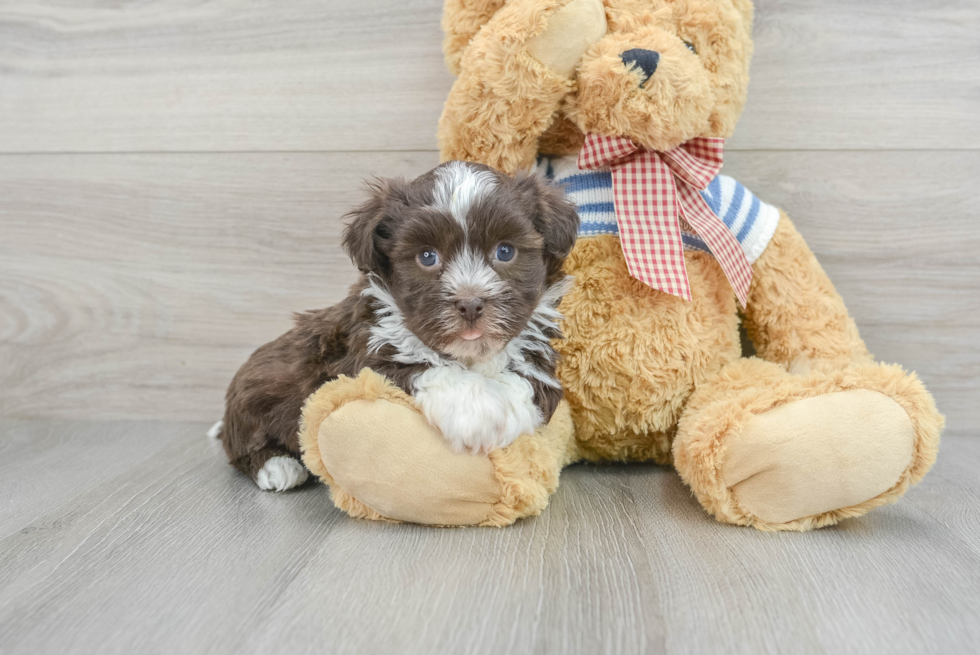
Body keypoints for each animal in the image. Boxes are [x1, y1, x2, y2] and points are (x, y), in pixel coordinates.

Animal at [211, 161, 580, 492]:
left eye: (505, 251)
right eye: (427, 257)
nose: (471, 304)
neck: (469, 355)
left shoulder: (535, 351)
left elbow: (528, 384)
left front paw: (497, 414)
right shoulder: (363, 353)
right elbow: (424, 366)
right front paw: (478, 414)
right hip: (254, 396)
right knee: (241, 445)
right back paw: (276, 466)